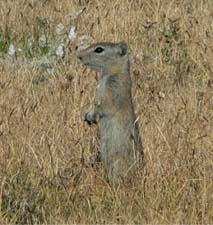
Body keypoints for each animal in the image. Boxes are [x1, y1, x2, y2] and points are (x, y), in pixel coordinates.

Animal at [77, 41, 144, 185]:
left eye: (99, 49)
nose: (79, 56)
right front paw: (85, 115)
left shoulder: (111, 95)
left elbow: (101, 108)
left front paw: (90, 116)